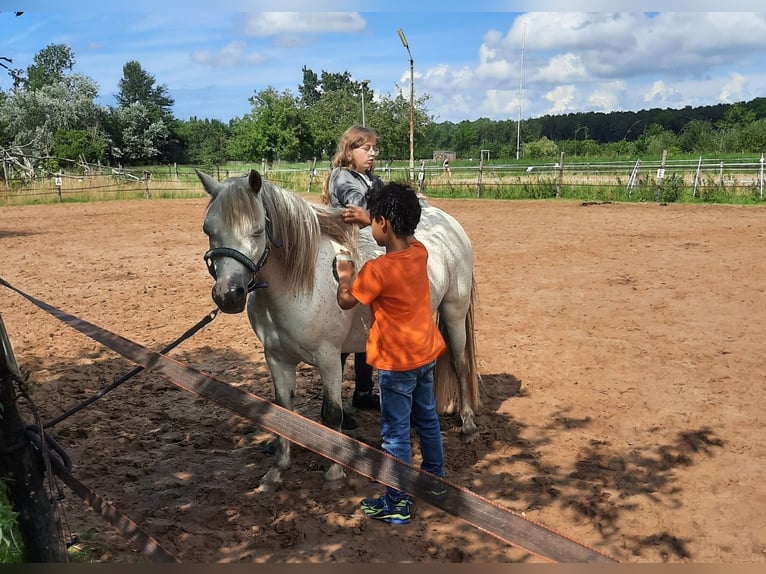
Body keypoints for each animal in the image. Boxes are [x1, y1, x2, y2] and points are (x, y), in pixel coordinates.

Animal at [200, 170, 480, 490]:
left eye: (258, 231)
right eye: (208, 229)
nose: (228, 295)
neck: (300, 283)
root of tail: (446, 221)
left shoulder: (329, 358)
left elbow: (333, 414)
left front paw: (334, 472)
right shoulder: (277, 359)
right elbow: (282, 412)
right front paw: (276, 471)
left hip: (454, 312)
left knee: (459, 364)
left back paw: (468, 424)